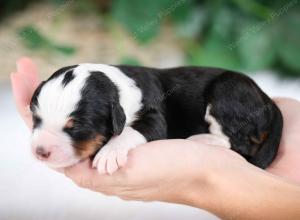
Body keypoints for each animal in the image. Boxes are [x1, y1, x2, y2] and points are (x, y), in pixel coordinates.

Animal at [29, 63, 284, 174]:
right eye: (36, 119)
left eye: (77, 127)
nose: (40, 152)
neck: (116, 86)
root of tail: (267, 99)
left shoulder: (154, 117)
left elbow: (131, 131)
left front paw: (110, 153)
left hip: (226, 91)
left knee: (239, 144)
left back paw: (202, 140)